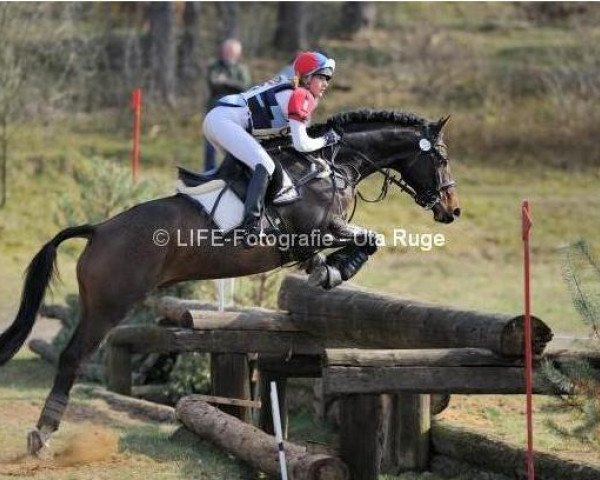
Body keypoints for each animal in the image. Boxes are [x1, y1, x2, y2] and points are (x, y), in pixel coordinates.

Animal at [0, 109, 460, 454]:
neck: (332, 165)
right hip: (109, 306)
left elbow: (363, 241)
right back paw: (42, 434)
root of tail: (98, 231)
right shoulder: (317, 230)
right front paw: (334, 269)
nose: (451, 211)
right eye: (440, 159)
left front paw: (324, 267)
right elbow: (370, 239)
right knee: (73, 357)